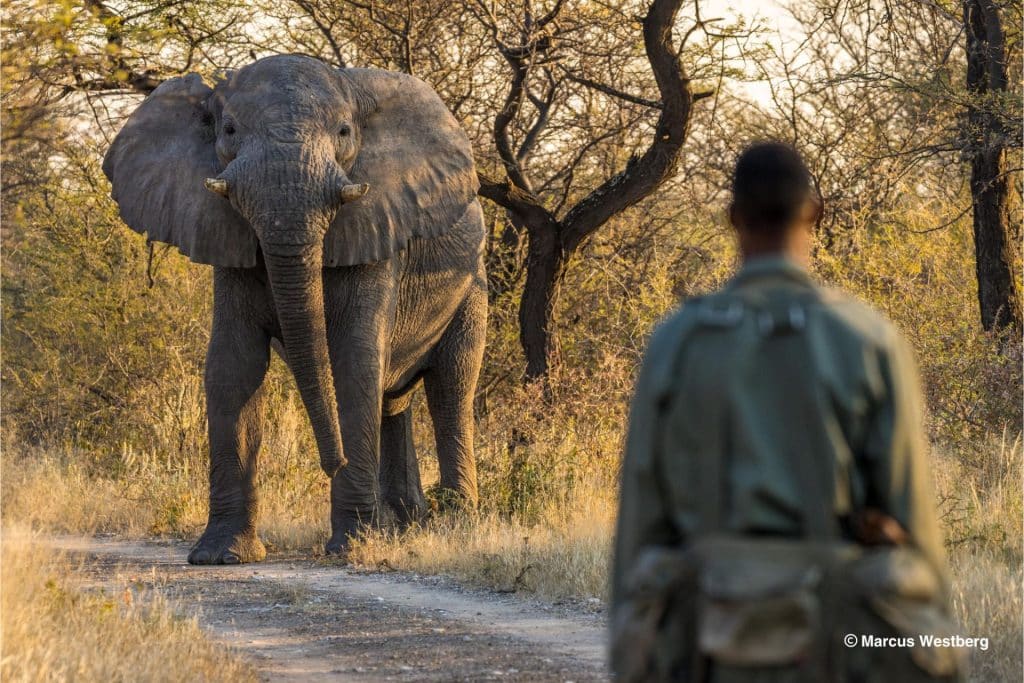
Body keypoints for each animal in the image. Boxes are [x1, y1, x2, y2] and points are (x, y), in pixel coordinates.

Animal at [102, 54, 487, 564]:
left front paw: (351, 547)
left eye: (344, 131)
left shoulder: (378, 231)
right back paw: (402, 528)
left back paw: (456, 526)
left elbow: (355, 362)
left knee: (452, 389)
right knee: (394, 402)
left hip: (471, 284)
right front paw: (221, 556)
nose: (333, 461)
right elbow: (232, 366)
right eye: (228, 129)